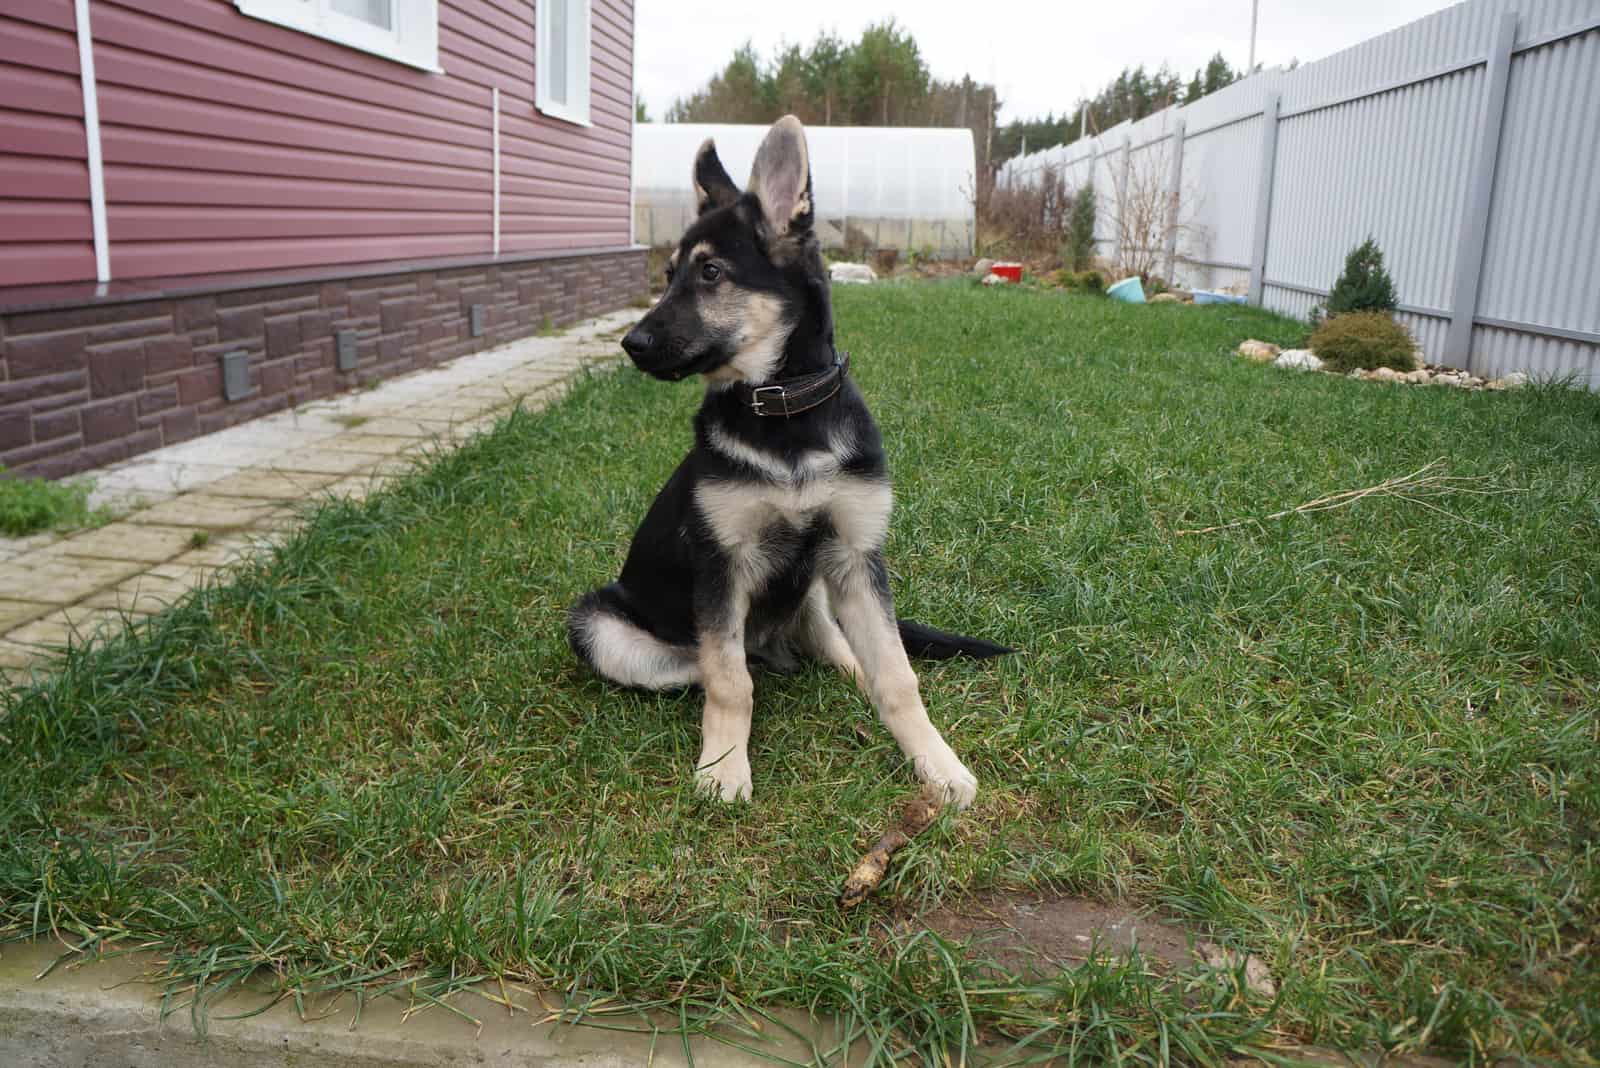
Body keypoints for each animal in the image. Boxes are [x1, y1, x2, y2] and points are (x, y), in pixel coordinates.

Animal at [569, 115, 1004, 799]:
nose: (630, 344)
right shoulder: (721, 567)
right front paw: (724, 767)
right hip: (598, 624)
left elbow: (897, 675)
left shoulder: (855, 553)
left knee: (840, 646)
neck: (783, 413)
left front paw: (937, 762)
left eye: (711, 273)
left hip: (821, 583)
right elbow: (728, 681)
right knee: (716, 665)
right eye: (666, 276)